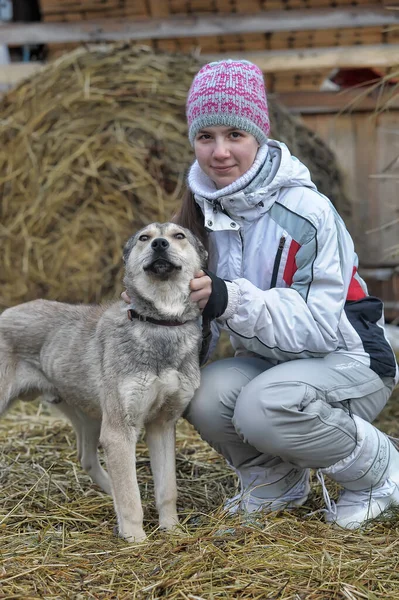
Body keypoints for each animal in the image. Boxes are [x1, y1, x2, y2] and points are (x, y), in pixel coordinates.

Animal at [0, 223, 209, 540]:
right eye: (144, 238)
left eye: (178, 236)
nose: (159, 244)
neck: (159, 324)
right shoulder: (119, 431)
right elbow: (131, 500)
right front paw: (136, 539)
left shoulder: (162, 425)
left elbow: (166, 489)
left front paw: (172, 530)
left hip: (90, 418)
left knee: (88, 460)